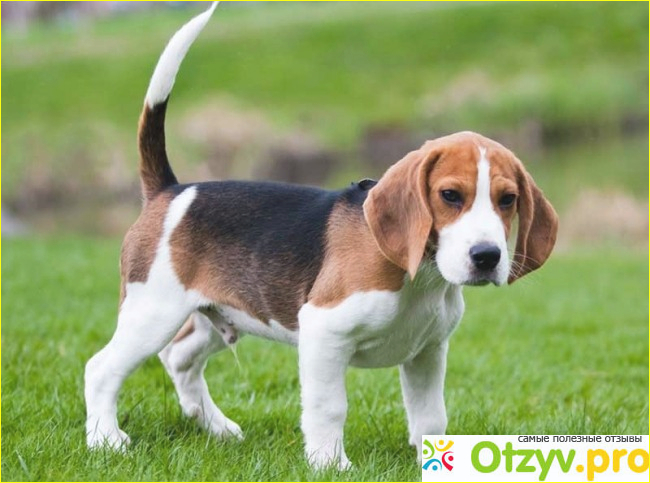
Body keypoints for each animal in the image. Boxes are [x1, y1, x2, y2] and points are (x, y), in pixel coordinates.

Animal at [85, 2, 558, 469]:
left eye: (508, 200)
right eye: (450, 195)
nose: (487, 256)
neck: (419, 275)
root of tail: (171, 190)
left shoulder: (428, 351)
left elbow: (430, 416)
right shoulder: (324, 333)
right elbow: (330, 407)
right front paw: (331, 464)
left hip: (218, 314)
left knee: (179, 359)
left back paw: (218, 428)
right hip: (154, 311)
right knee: (101, 369)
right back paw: (106, 440)